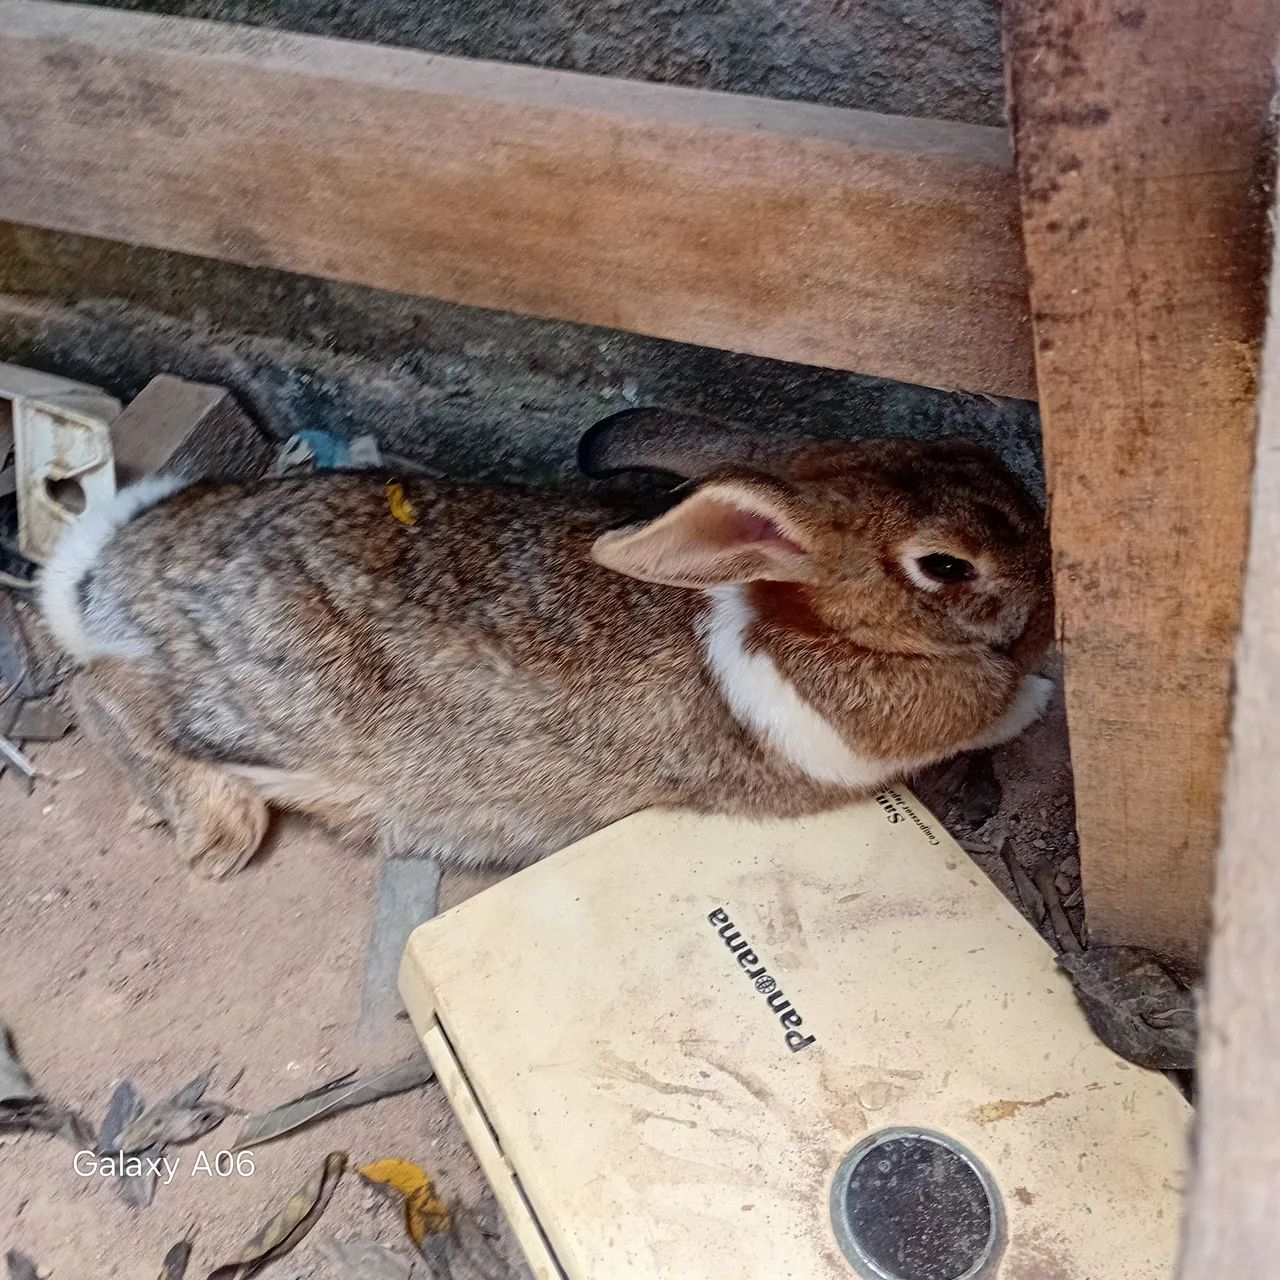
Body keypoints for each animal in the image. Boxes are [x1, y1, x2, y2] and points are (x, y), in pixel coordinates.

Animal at [38, 408, 1053, 880]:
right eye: (945, 566)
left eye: (970, 453)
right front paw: (1039, 697)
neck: (789, 607)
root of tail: (109, 573)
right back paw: (215, 828)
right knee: (102, 695)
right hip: (259, 702)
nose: (1047, 590)